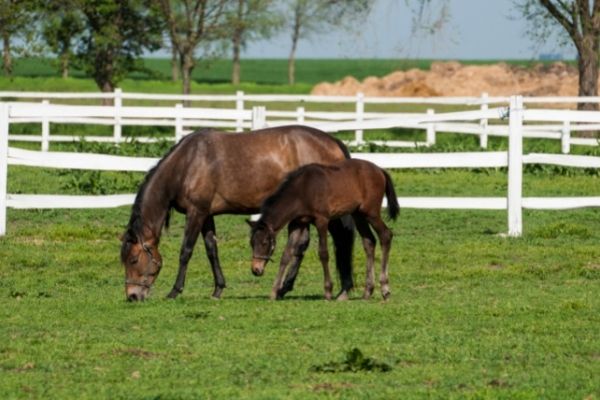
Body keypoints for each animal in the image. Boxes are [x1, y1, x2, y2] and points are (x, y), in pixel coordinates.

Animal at [122, 125, 356, 300]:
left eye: (132, 260)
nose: (132, 296)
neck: (187, 164)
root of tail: (333, 142)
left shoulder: (196, 212)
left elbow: (186, 251)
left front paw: (175, 290)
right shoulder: (206, 215)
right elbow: (211, 249)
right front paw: (218, 289)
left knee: (334, 240)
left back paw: (339, 289)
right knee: (303, 244)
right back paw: (288, 288)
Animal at [248, 159, 398, 300]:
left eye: (264, 243)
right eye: (252, 243)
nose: (256, 269)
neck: (303, 189)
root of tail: (380, 170)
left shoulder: (322, 221)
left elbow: (323, 253)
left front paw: (328, 291)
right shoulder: (297, 224)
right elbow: (286, 255)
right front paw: (274, 291)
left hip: (371, 213)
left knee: (386, 235)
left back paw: (385, 289)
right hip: (358, 215)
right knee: (369, 242)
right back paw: (368, 291)